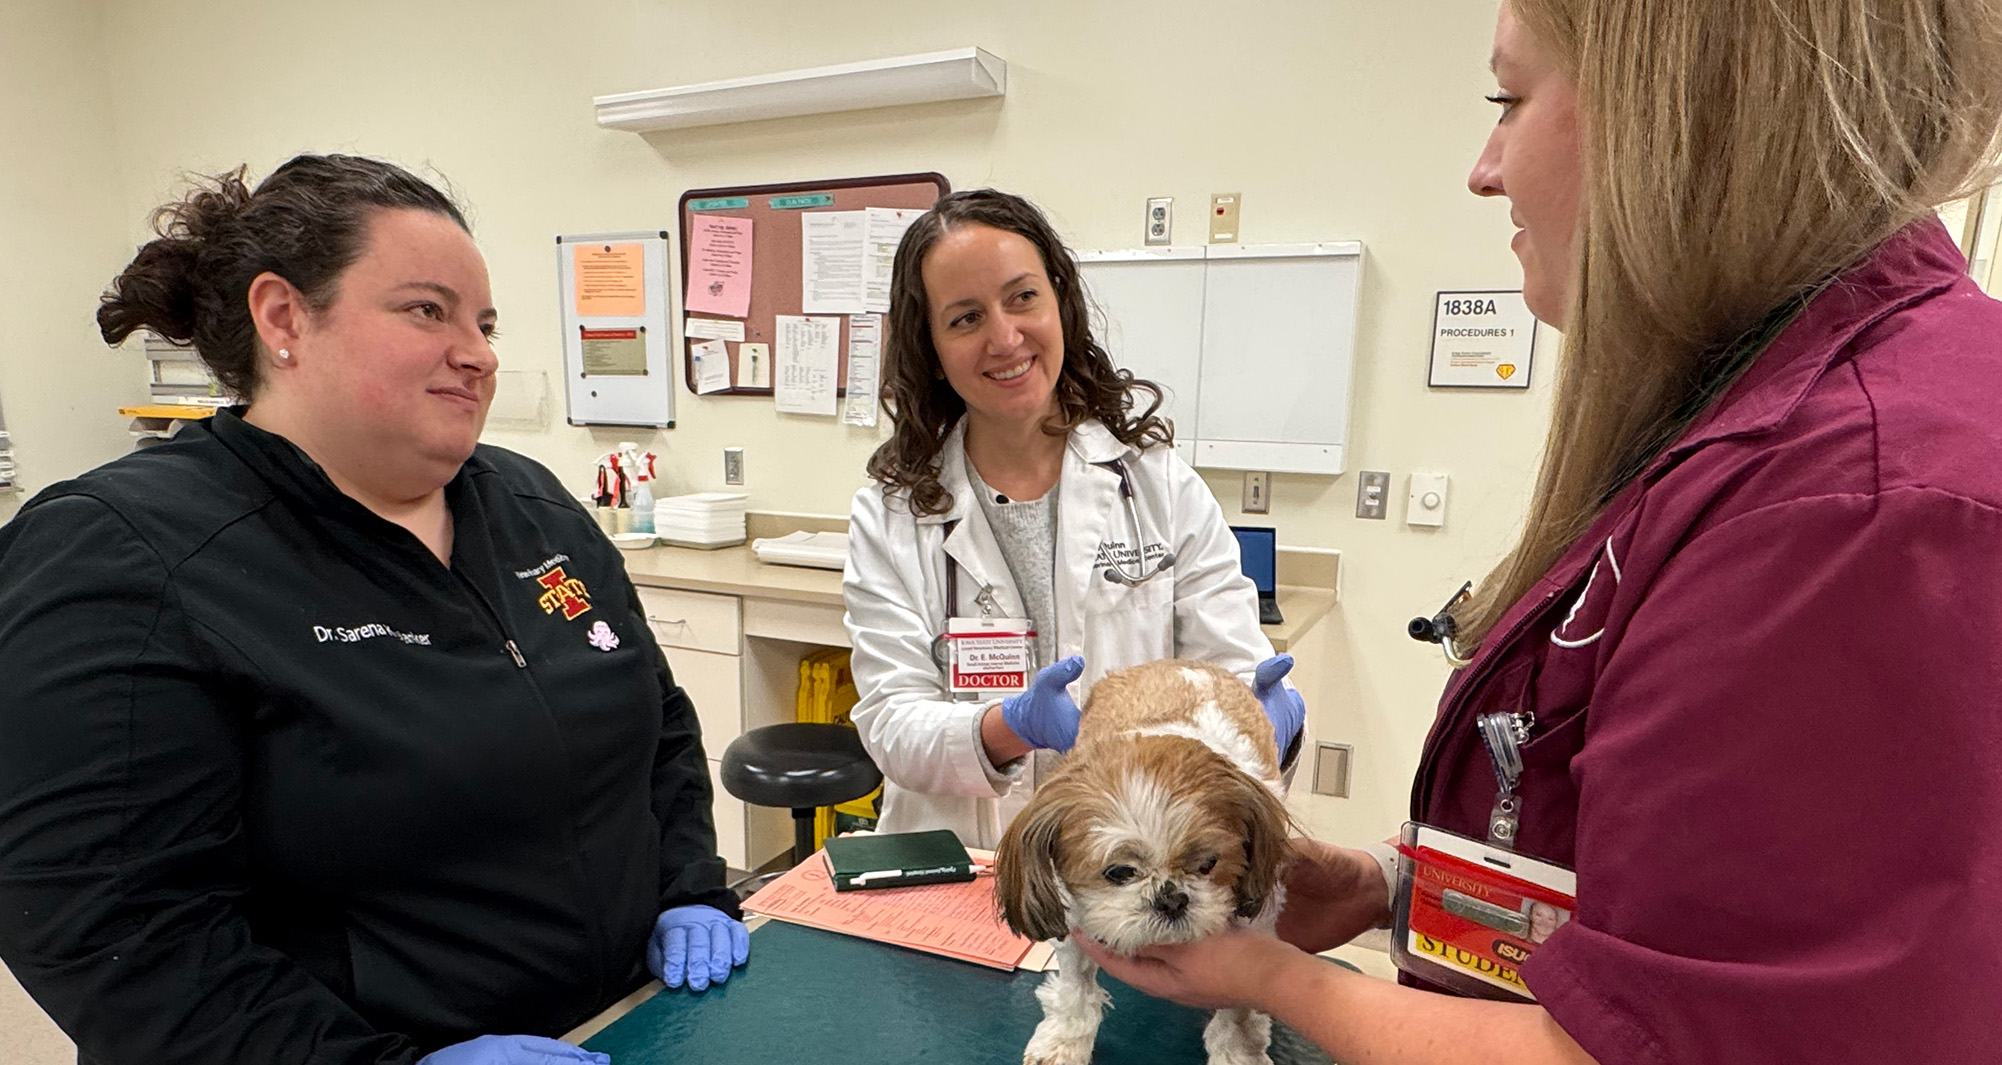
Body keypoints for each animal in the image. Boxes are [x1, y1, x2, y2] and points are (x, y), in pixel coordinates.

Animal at [992, 656, 1289, 1065]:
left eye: (1207, 864)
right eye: (1119, 872)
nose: (1172, 899)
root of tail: (1183, 664)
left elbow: (1239, 1003)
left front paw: (1237, 1049)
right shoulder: (1073, 919)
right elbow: (1075, 990)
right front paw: (1065, 1040)